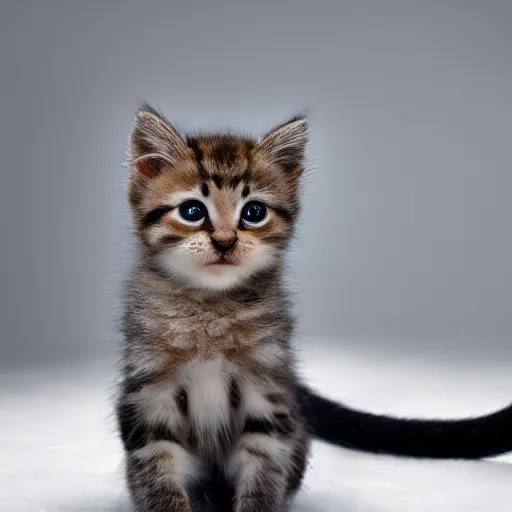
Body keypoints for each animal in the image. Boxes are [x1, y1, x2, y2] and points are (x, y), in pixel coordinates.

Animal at [116, 105, 512, 512]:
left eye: (253, 212)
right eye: (192, 211)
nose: (225, 242)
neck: (212, 309)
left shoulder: (268, 395)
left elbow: (263, 465)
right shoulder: (148, 395)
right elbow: (158, 471)